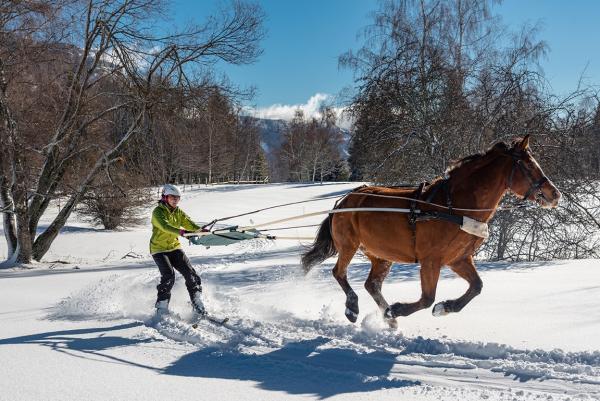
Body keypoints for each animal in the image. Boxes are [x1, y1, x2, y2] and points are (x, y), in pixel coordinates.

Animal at [302, 136, 560, 326]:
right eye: (528, 165)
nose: (555, 194)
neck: (453, 206)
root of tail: (343, 201)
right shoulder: (431, 261)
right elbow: (427, 299)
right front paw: (398, 310)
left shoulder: (458, 259)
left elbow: (476, 287)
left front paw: (444, 308)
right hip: (349, 245)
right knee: (339, 273)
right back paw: (353, 308)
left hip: (380, 255)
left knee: (372, 284)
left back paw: (387, 317)